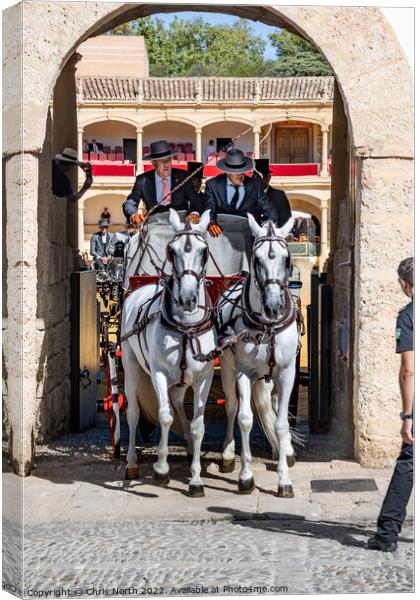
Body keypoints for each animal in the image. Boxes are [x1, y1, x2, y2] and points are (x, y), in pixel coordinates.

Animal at [120, 210, 215, 496]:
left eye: (204, 251)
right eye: (171, 251)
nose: (188, 298)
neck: (186, 326)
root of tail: (142, 286)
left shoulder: (204, 377)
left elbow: (197, 425)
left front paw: (196, 479)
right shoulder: (159, 373)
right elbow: (164, 416)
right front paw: (161, 469)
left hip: (182, 381)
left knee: (178, 405)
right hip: (131, 366)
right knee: (133, 412)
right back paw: (131, 463)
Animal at [217, 216, 298, 496]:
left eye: (287, 258)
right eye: (256, 258)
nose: (274, 306)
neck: (268, 326)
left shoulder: (287, 373)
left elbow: (281, 423)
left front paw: (284, 480)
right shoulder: (243, 372)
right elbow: (244, 419)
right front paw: (246, 475)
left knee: (274, 405)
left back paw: (287, 450)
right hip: (228, 369)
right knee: (231, 407)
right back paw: (228, 454)